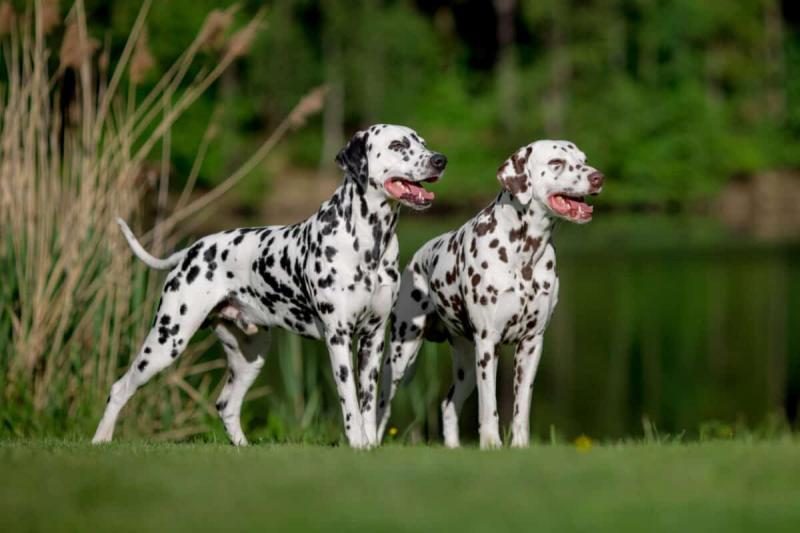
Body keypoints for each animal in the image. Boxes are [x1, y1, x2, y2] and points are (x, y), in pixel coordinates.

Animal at [92, 124, 450, 448]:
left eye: (422, 141)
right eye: (398, 144)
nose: (440, 159)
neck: (368, 242)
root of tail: (191, 251)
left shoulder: (372, 339)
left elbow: (368, 404)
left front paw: (370, 444)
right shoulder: (338, 337)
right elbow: (349, 401)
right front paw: (358, 445)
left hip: (249, 357)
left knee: (226, 405)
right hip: (167, 341)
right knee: (119, 388)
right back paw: (101, 439)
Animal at [378, 139, 604, 446]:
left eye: (584, 159)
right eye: (556, 162)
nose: (598, 178)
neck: (525, 256)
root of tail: (418, 257)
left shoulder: (531, 344)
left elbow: (521, 409)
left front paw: (519, 446)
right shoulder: (488, 343)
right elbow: (489, 408)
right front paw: (491, 444)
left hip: (466, 365)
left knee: (448, 405)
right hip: (403, 354)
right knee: (379, 405)